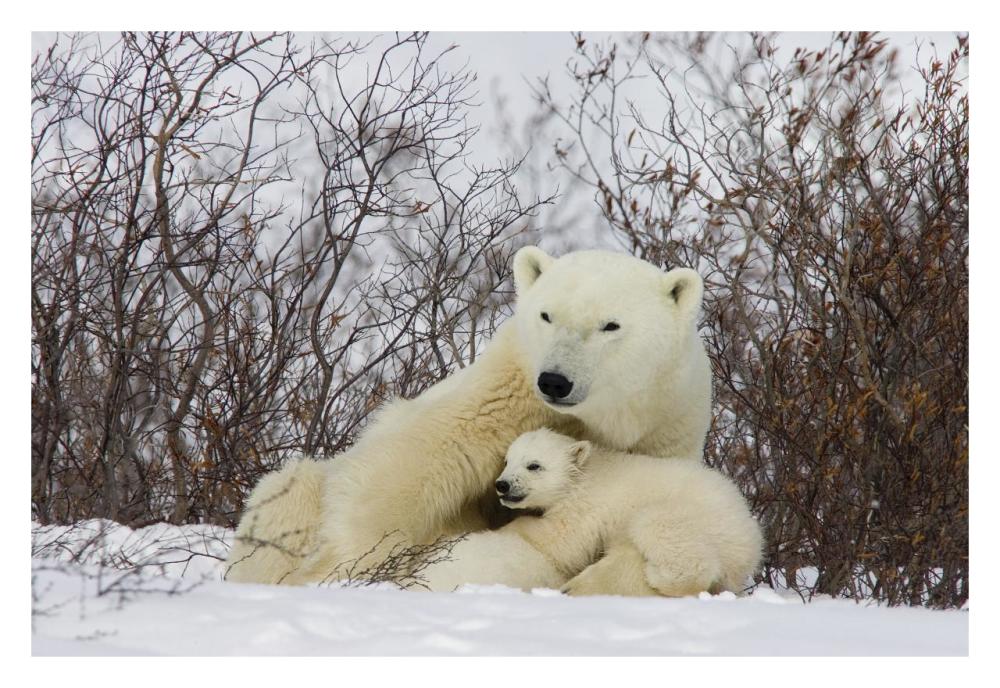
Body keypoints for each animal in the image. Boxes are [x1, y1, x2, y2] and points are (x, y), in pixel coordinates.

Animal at [225, 247, 712, 592]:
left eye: (610, 325)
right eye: (546, 315)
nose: (555, 381)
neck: (598, 416)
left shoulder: (665, 423)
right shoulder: (505, 388)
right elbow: (408, 466)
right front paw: (340, 570)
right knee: (291, 490)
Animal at [420, 428, 756, 592]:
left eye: (534, 465)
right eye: (507, 460)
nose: (502, 485)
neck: (586, 472)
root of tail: (751, 543)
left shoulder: (587, 506)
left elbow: (561, 539)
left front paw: (511, 528)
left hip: (696, 519)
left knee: (660, 530)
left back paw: (660, 577)